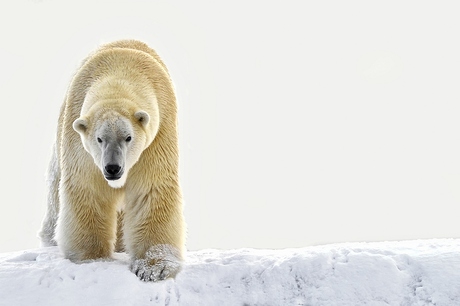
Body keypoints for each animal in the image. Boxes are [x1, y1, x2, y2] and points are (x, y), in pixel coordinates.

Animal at [38, 39, 185, 280]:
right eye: (99, 139)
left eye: (128, 137)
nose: (113, 168)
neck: (119, 71)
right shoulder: (79, 138)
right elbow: (88, 187)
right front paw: (91, 257)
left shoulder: (158, 134)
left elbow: (150, 189)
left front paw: (153, 267)